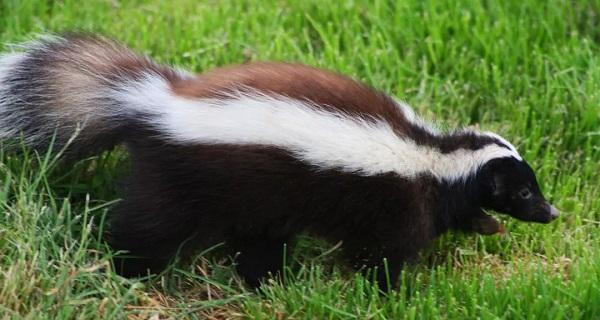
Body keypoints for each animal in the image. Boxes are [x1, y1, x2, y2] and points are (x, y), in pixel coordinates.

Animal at [0, 35, 556, 288]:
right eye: (524, 191)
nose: (551, 213)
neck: (434, 157)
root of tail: (152, 101)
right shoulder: (396, 206)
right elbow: (384, 255)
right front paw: (392, 293)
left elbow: (456, 213)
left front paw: (486, 225)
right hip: (184, 183)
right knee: (148, 229)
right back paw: (128, 271)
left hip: (254, 207)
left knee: (257, 246)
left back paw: (266, 282)